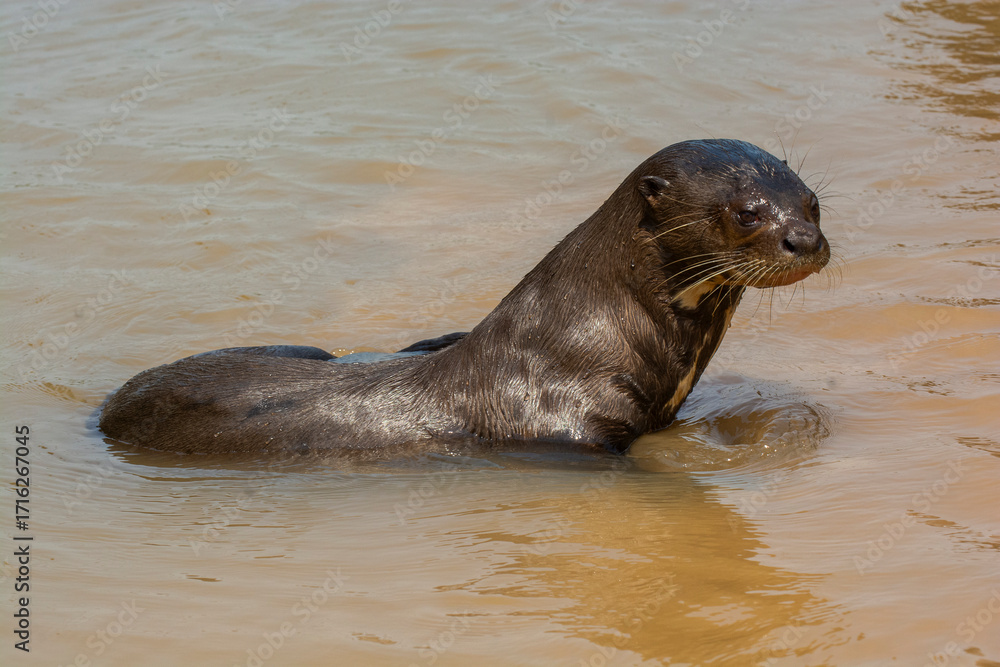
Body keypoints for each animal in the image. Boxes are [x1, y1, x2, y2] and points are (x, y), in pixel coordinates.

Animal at [99, 139, 830, 455]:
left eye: (812, 200)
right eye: (746, 212)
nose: (805, 239)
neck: (590, 335)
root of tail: (100, 415)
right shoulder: (576, 425)